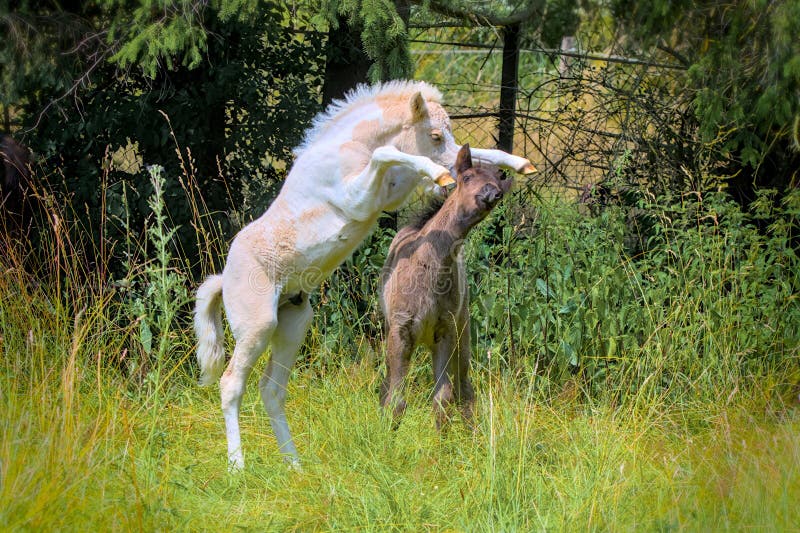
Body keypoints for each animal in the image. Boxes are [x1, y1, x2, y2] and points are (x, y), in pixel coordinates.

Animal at [194, 80, 536, 470]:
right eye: (435, 135)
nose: (452, 170)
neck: (347, 146)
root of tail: (223, 278)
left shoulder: (389, 195)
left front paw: (518, 163)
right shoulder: (355, 198)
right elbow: (386, 153)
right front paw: (437, 173)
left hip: (294, 324)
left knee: (272, 390)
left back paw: (295, 465)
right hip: (258, 326)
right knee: (231, 385)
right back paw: (237, 466)